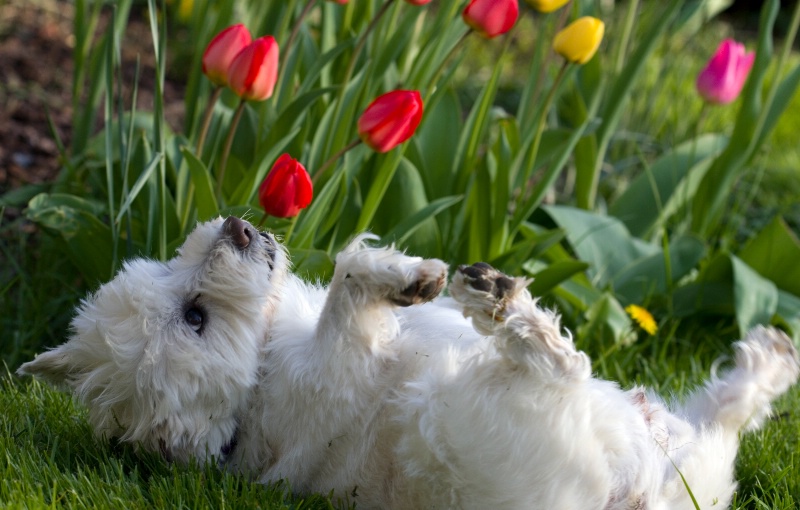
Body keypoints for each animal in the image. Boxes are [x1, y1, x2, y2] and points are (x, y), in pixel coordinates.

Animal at [18, 216, 800, 510]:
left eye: (171, 273)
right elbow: (347, 282)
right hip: (462, 416)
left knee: (720, 418)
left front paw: (402, 271)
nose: (238, 226)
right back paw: (503, 305)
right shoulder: (337, 367)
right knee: (563, 368)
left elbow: (345, 263)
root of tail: (636, 497)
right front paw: (404, 279)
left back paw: (769, 356)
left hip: (682, 455)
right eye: (195, 319)